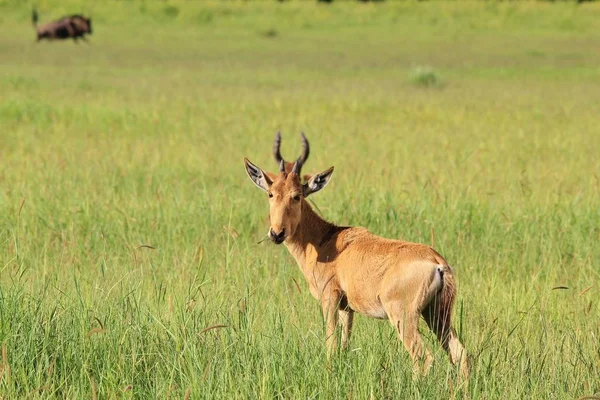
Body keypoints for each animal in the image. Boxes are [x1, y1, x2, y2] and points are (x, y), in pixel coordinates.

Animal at [243, 158, 468, 380]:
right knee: (460, 353)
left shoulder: (330, 298)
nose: (276, 233)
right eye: (271, 194)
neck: (327, 240)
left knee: (423, 357)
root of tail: (437, 262)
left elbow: (331, 344)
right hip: (437, 314)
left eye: (297, 196)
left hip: (404, 317)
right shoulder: (347, 307)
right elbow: (344, 345)